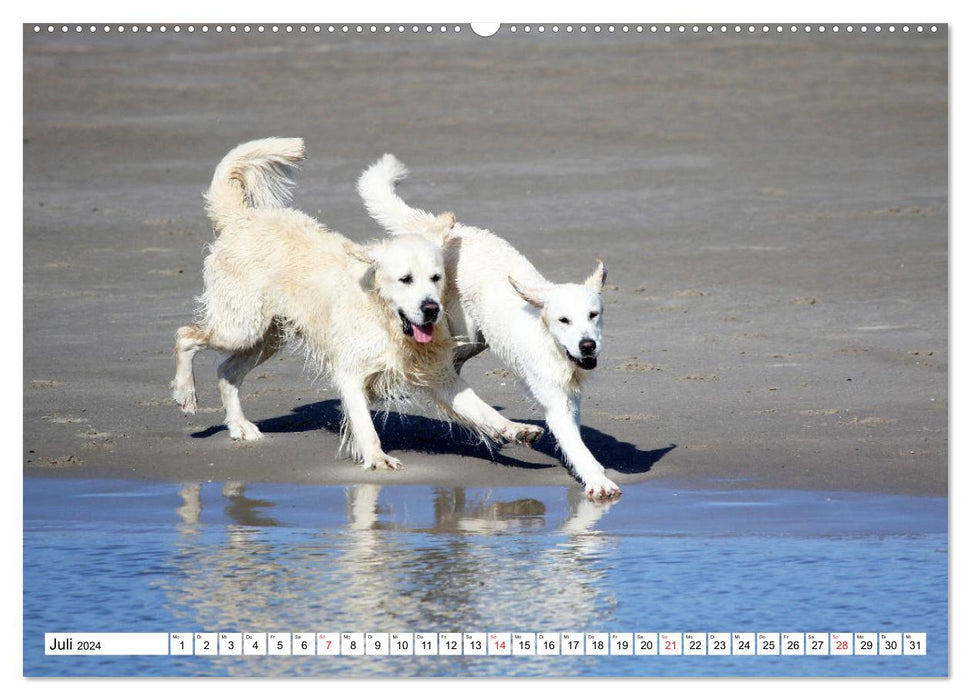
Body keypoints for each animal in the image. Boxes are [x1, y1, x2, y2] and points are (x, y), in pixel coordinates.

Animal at [171, 138, 544, 470]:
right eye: (405, 279)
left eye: (437, 277)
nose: (431, 309)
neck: (385, 319)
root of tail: (241, 219)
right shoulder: (351, 372)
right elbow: (365, 423)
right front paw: (377, 458)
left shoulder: (438, 375)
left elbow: (481, 408)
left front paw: (517, 430)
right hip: (242, 325)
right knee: (186, 335)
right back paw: (186, 394)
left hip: (268, 336)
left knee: (226, 372)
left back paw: (240, 427)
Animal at [356, 156, 624, 500]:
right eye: (564, 320)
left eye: (594, 315)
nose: (587, 345)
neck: (552, 345)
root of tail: (458, 231)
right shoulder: (553, 398)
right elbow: (575, 444)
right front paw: (596, 479)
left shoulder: (572, 397)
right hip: (461, 327)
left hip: (476, 339)